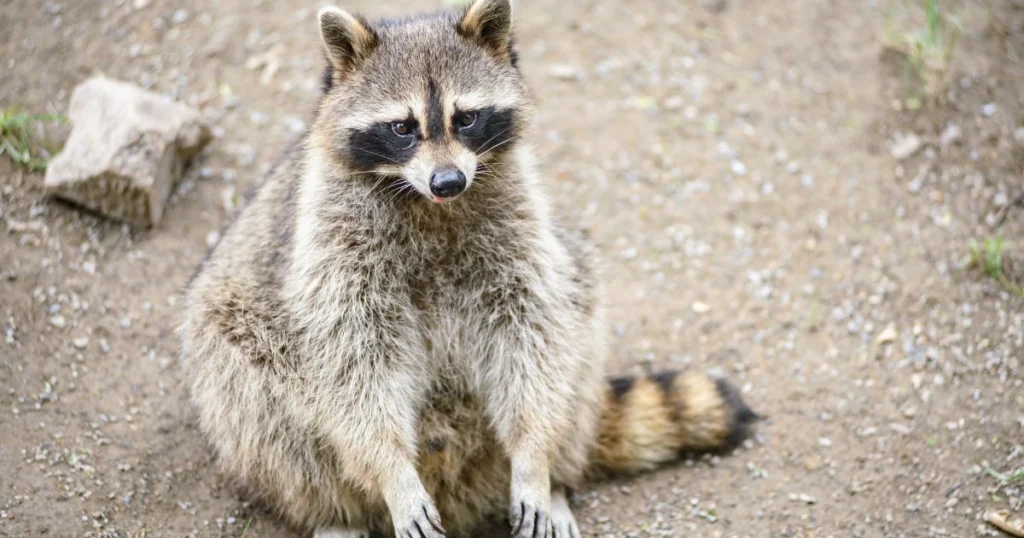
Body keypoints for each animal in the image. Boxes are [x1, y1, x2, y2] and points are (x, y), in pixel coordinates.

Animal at [180, 1, 757, 536]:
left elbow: (533, 334)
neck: (428, 202)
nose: (449, 181)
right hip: (232, 337)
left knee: (577, 337)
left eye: (467, 118)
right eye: (402, 128)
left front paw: (534, 458)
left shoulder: (518, 226)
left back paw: (558, 480)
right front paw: (392, 471)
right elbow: (353, 361)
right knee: (259, 406)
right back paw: (333, 513)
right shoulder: (333, 248)